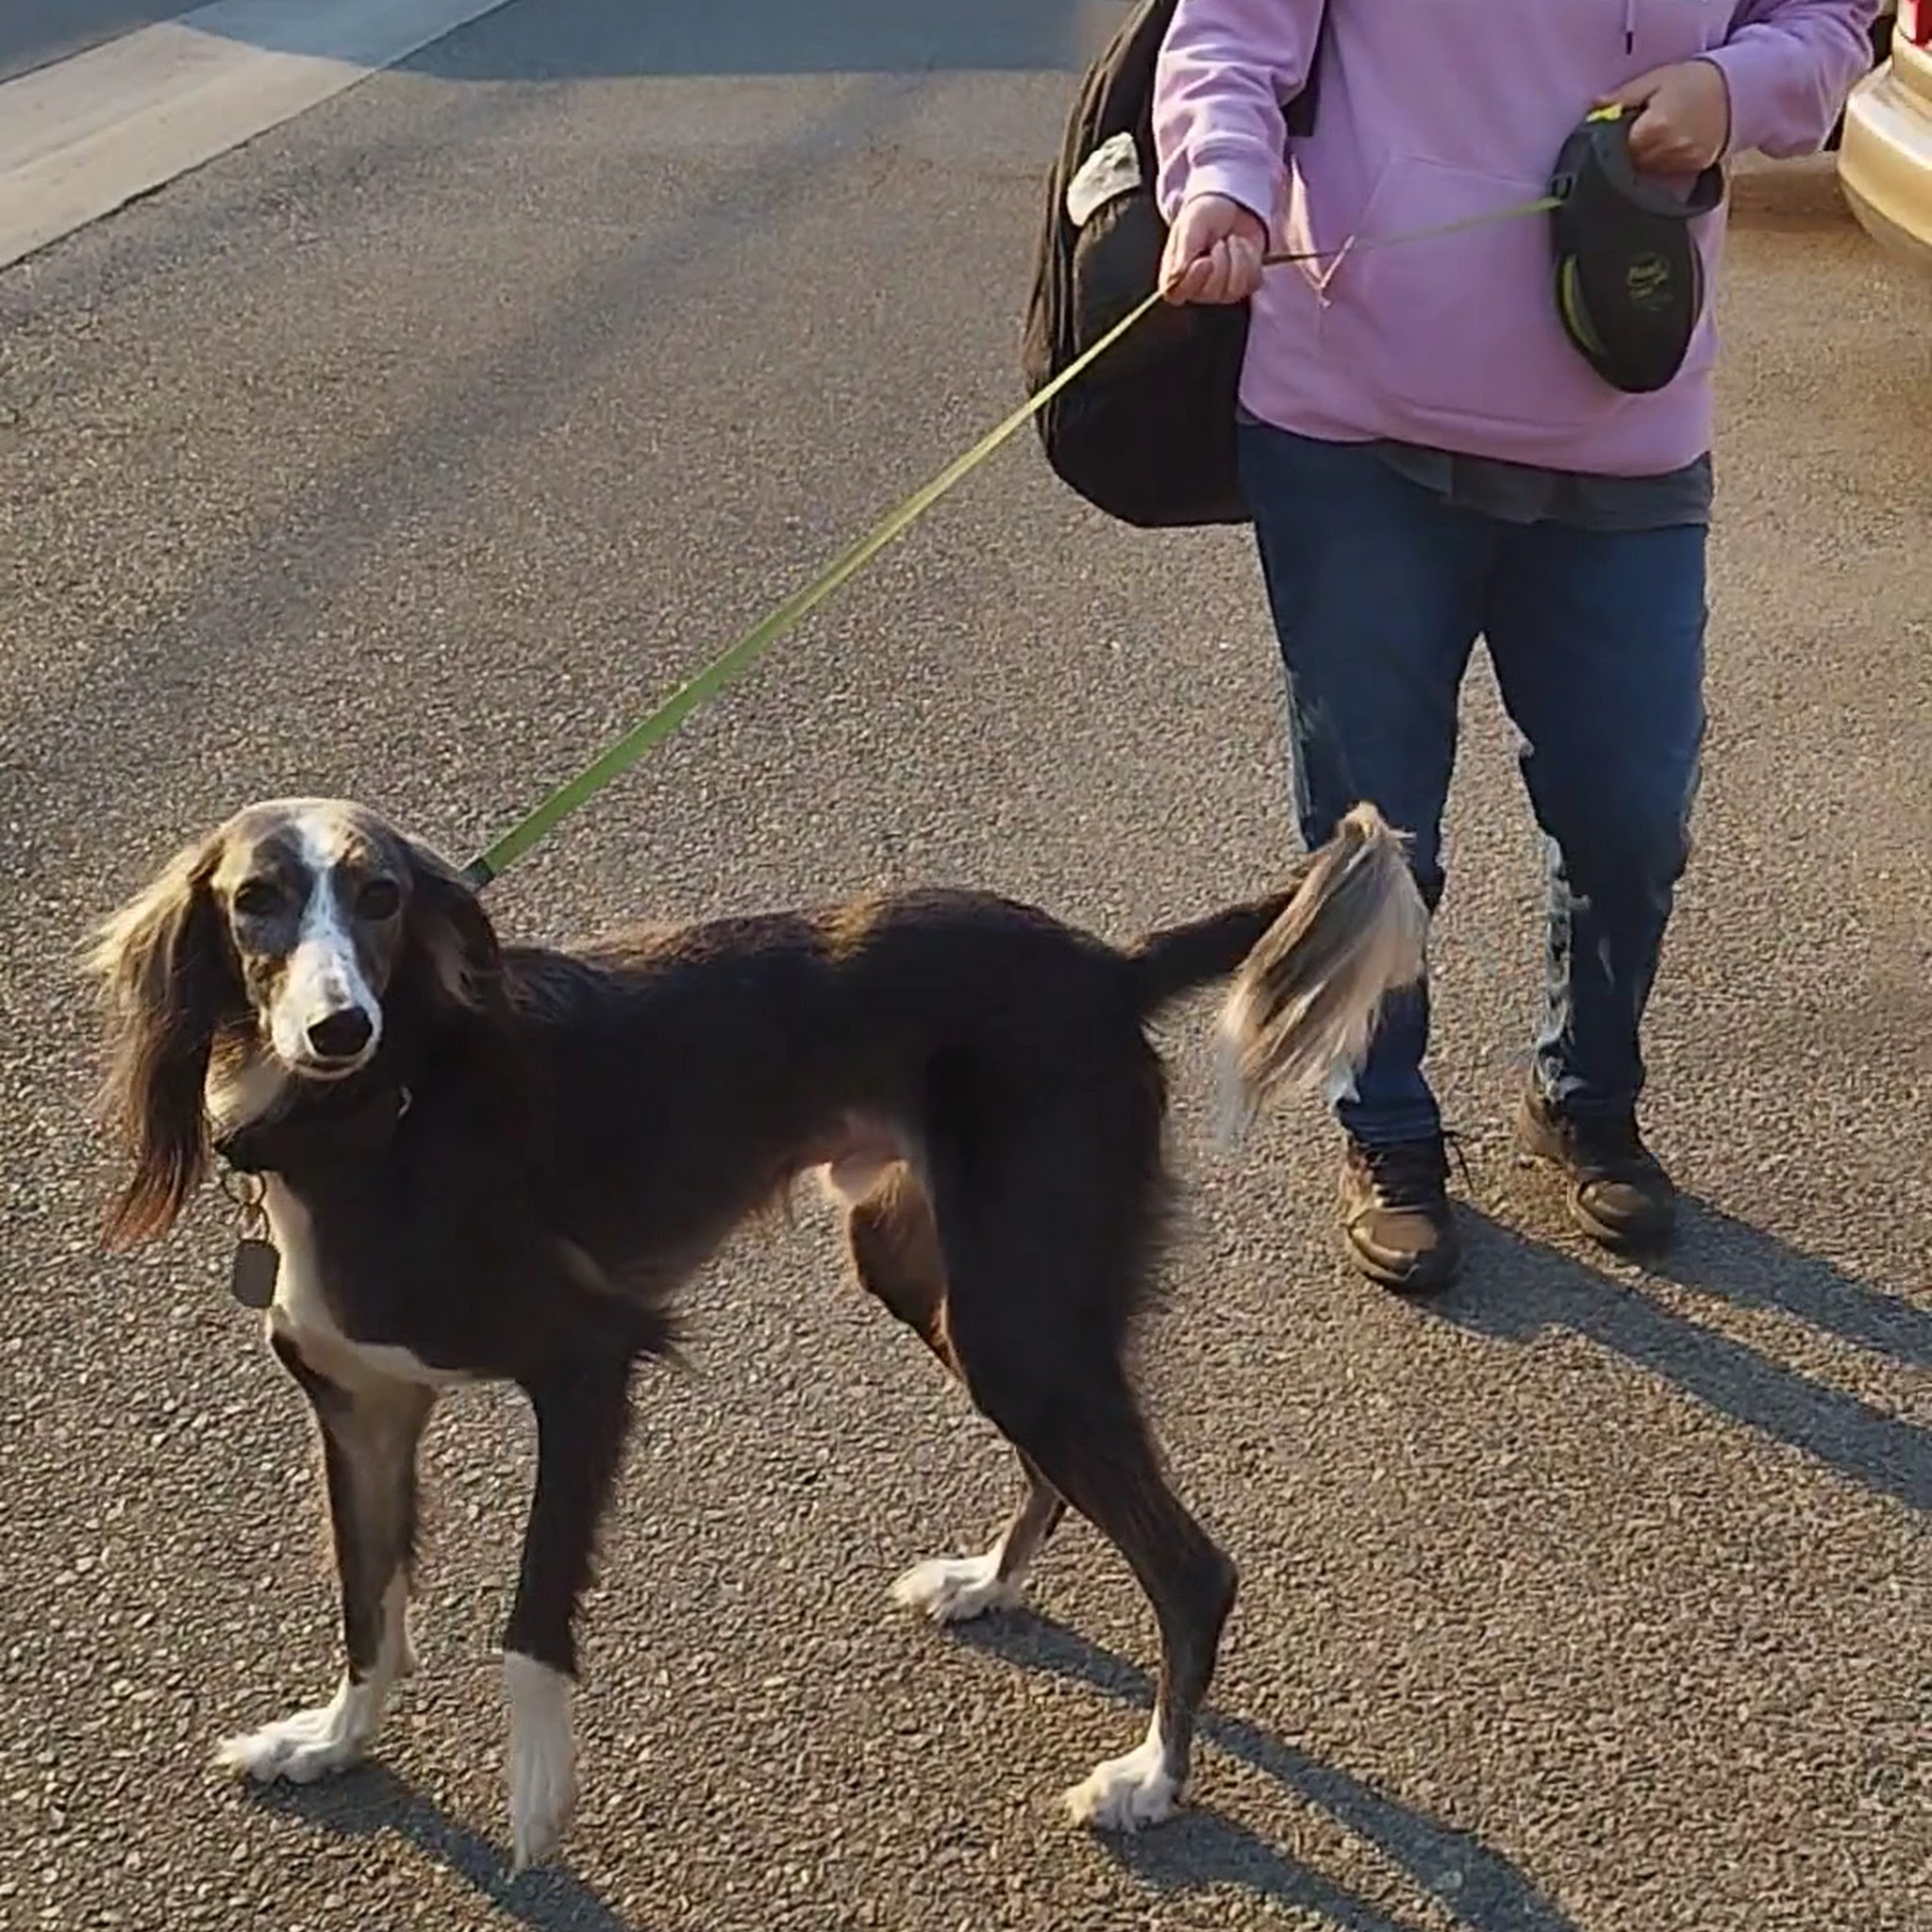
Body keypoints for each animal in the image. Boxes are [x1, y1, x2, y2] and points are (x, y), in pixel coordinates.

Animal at [84, 795, 1427, 1870]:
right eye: (254, 901)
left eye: (381, 897)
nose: (337, 1027)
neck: (382, 1107)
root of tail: (1104, 963)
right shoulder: (361, 1408)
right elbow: (368, 1604)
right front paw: (329, 1740)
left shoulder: (587, 1361)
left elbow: (529, 1621)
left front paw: (535, 1804)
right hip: (941, 1281)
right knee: (1060, 1470)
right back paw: (987, 1583)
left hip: (1017, 1314)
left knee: (1192, 1568)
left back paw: (1149, 1778)